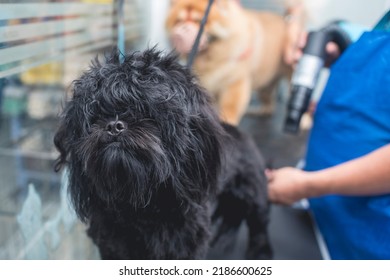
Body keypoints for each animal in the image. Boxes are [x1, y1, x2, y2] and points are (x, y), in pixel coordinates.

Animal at [53, 48, 270, 260]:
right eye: (97, 114)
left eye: (144, 111)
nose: (114, 126)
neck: (141, 203)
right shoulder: (112, 246)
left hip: (254, 195)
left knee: (258, 226)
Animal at [166, 0, 298, 124]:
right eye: (179, 21)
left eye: (199, 21)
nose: (181, 30)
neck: (209, 57)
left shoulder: (234, 82)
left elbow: (230, 107)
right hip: (266, 83)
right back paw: (263, 111)